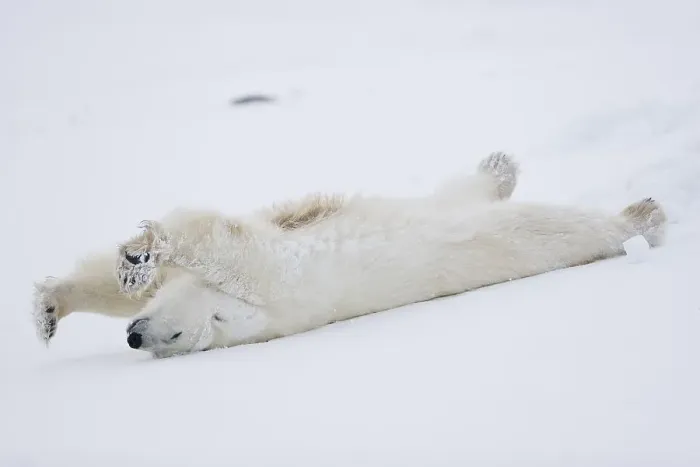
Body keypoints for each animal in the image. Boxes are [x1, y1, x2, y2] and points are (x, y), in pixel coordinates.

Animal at [33, 153, 666, 358]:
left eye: (176, 339)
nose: (135, 338)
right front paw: (48, 310)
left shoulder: (278, 278)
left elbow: (220, 239)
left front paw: (139, 255)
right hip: (445, 203)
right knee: (466, 187)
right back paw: (500, 165)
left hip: (522, 239)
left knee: (567, 226)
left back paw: (644, 216)